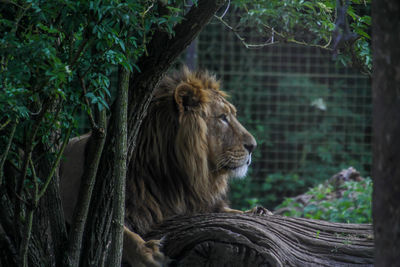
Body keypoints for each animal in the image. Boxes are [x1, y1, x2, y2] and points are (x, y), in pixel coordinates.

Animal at [59, 67, 256, 267]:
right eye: (223, 118)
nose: (253, 146)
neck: (173, 175)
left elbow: (230, 211)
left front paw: (254, 211)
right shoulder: (78, 208)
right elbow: (121, 232)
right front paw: (149, 254)